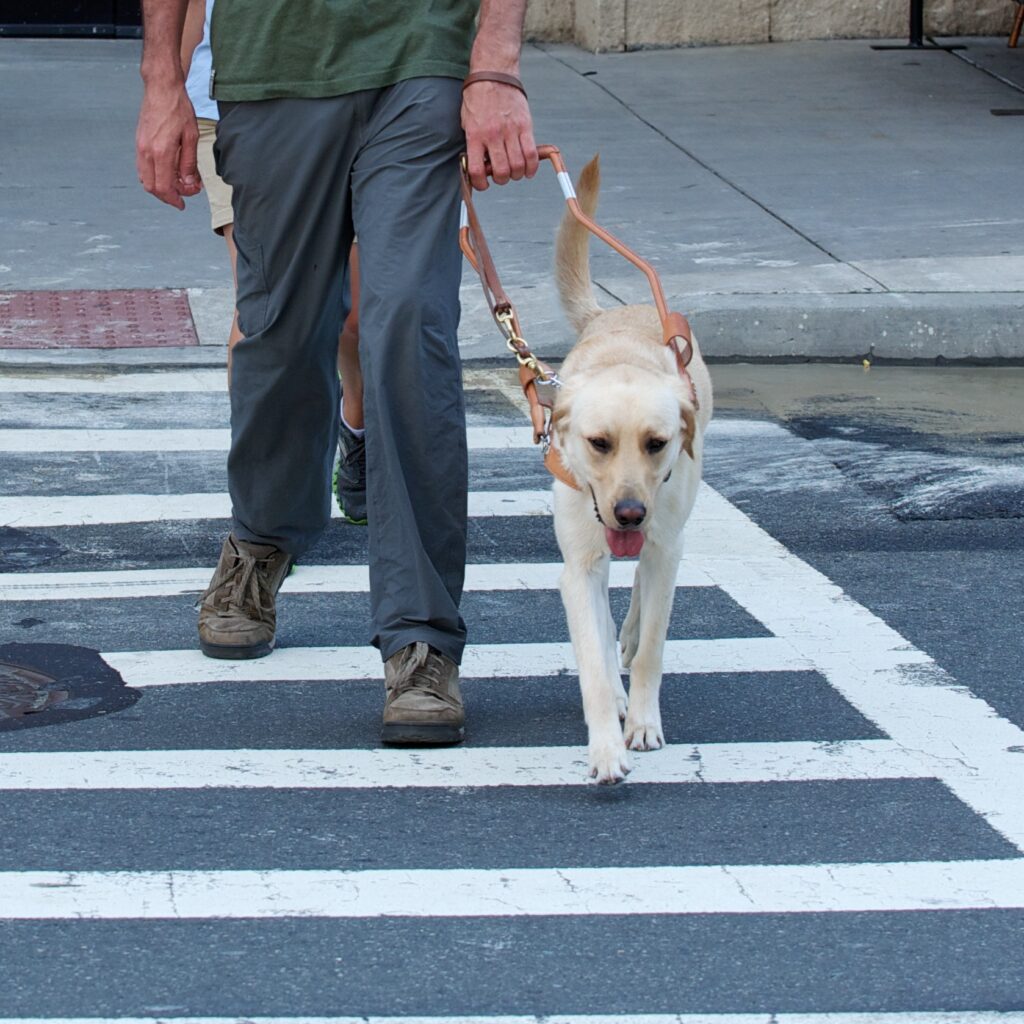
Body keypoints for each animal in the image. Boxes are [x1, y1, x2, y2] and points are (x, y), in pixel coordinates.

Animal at [552, 155, 712, 782]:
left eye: (656, 443)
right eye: (598, 443)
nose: (627, 512)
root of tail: (616, 310)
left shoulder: (665, 543)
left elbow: (653, 651)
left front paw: (642, 723)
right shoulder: (579, 567)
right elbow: (593, 667)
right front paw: (605, 748)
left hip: (673, 529)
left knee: (645, 585)